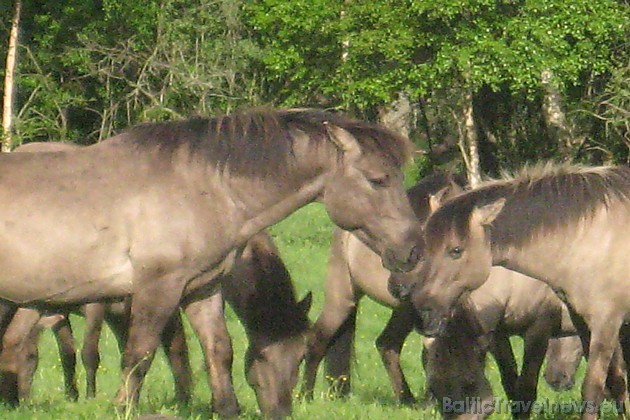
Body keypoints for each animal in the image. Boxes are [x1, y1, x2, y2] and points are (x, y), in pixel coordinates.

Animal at [400, 162, 630, 418]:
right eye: (435, 390)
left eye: (456, 250)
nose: (422, 306)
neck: (589, 238)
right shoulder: (578, 322)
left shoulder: (598, 323)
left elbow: (591, 388)